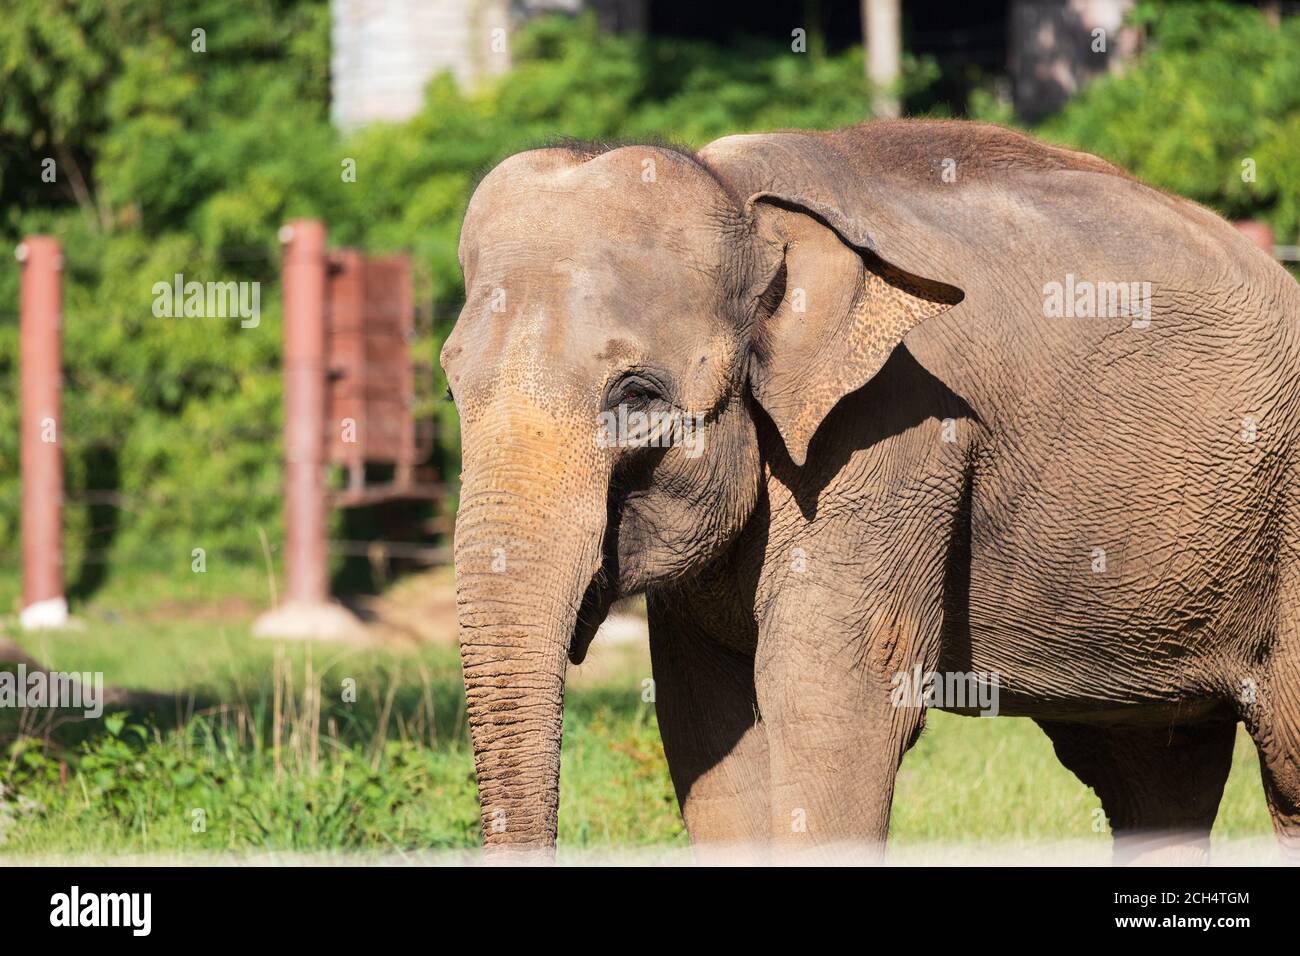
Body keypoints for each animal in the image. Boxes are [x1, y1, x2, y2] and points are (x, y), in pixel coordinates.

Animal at [441, 119, 1300, 863]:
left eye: (636, 395)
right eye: (452, 386)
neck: (741, 195)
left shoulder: (894, 432)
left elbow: (831, 707)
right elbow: (707, 729)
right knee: (1152, 774)